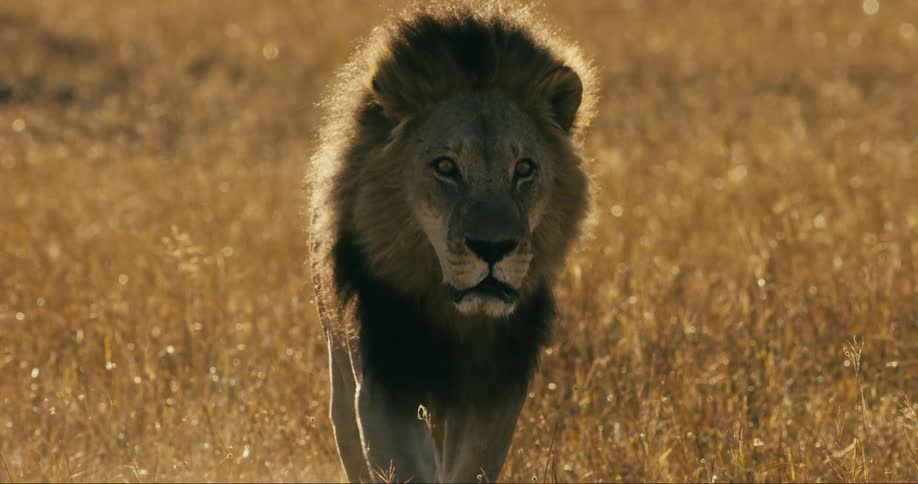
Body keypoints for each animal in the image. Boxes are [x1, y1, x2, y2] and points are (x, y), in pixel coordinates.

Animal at [307, 2, 596, 482]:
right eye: (445, 167)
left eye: (524, 169)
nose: (494, 248)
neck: (454, 317)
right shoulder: (385, 379)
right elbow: (406, 463)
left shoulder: (495, 390)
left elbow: (471, 466)